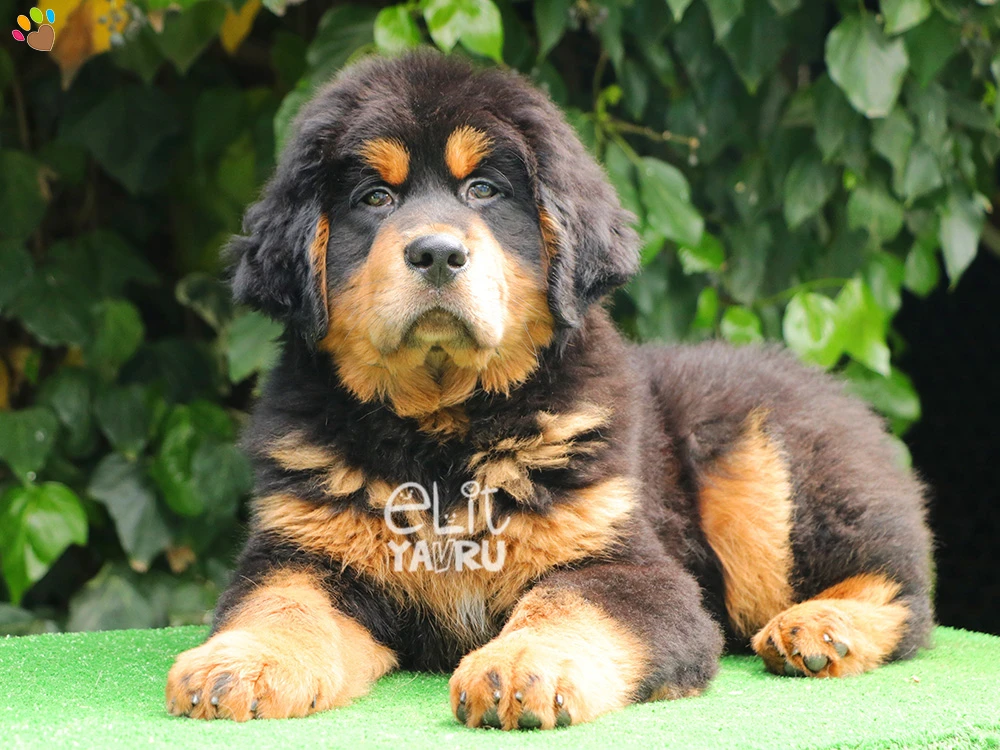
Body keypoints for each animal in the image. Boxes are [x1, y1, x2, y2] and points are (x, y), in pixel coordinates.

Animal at [160, 50, 932, 732]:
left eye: (484, 190)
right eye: (375, 198)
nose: (436, 252)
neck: (443, 429)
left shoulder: (622, 562)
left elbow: (567, 606)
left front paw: (522, 669)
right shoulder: (304, 553)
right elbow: (282, 607)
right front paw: (237, 666)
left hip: (764, 473)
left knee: (904, 595)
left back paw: (823, 625)